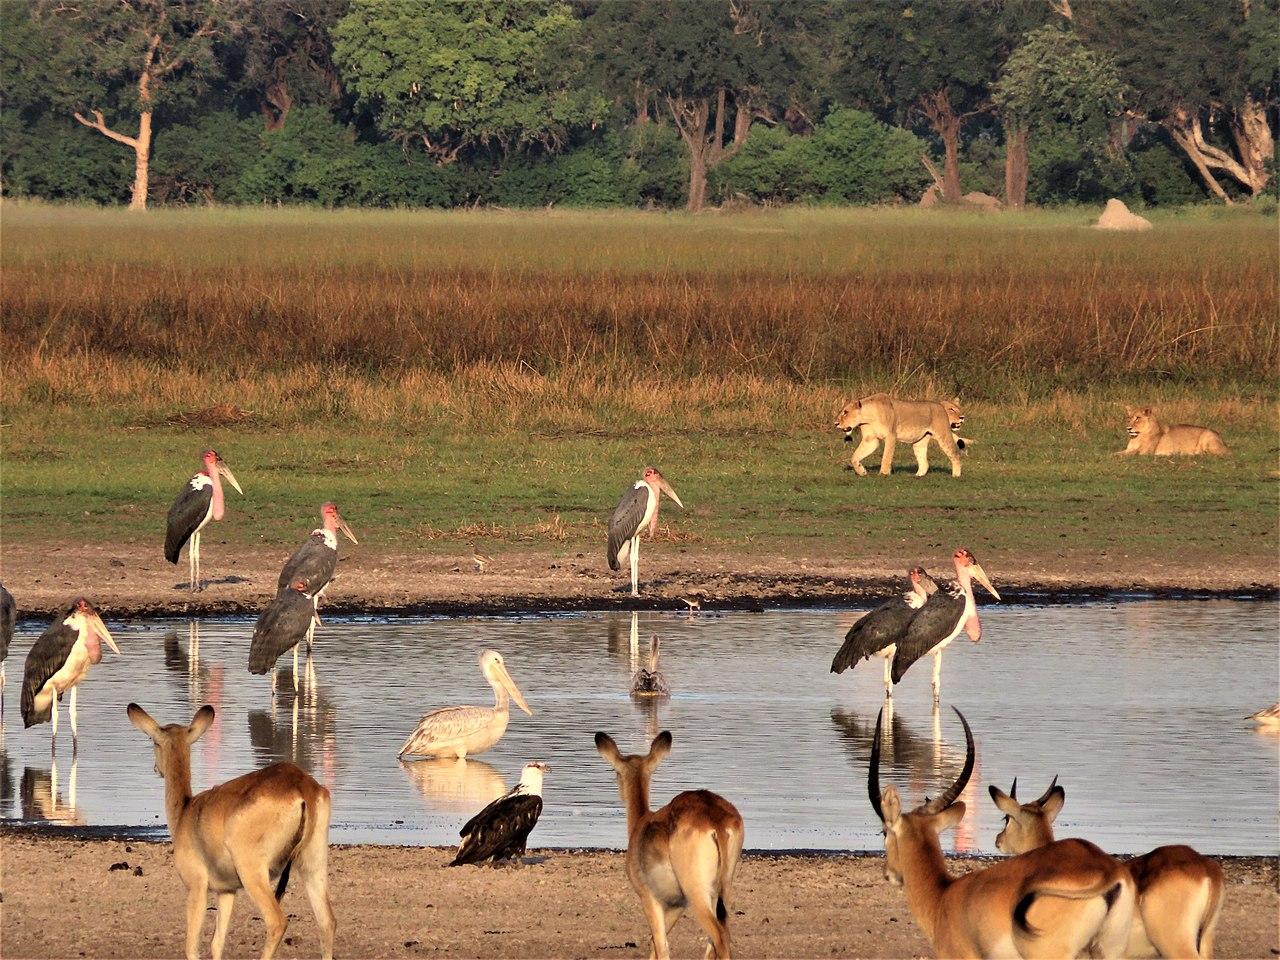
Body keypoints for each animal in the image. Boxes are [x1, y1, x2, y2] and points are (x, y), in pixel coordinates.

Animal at [128, 701, 337, 960]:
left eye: (154, 741)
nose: (157, 768)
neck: (187, 811)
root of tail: (302, 787)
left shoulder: (197, 887)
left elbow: (192, 948)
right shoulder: (227, 892)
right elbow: (217, 944)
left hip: (253, 872)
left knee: (277, 921)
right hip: (313, 863)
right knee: (327, 922)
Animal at [593, 727, 747, 960]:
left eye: (616, 773)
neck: (641, 824)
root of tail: (716, 821)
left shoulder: (650, 898)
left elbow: (660, 945)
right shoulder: (677, 905)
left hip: (698, 893)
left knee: (719, 937)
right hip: (722, 890)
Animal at [834, 391, 962, 478]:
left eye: (845, 412)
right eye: (842, 411)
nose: (836, 423)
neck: (868, 417)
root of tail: (940, 405)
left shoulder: (891, 436)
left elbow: (886, 457)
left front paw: (883, 474)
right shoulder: (870, 440)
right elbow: (854, 457)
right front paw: (862, 471)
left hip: (943, 435)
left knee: (955, 454)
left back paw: (956, 475)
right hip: (919, 442)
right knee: (924, 462)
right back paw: (918, 476)